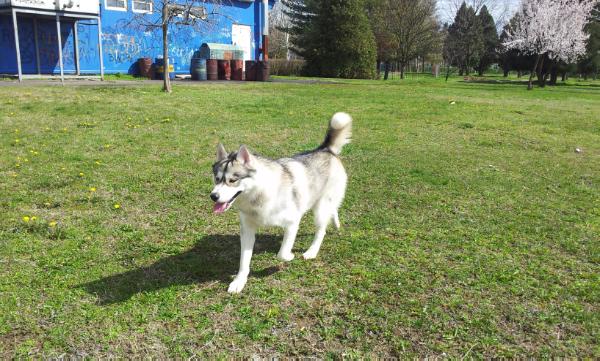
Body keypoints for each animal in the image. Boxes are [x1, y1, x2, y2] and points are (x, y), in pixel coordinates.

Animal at [211, 112, 352, 292]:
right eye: (217, 179)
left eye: (232, 180)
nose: (213, 196)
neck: (259, 195)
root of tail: (325, 149)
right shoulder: (247, 229)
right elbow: (244, 261)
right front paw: (239, 281)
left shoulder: (292, 222)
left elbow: (282, 253)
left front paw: (290, 256)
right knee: (333, 209)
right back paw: (335, 223)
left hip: (320, 208)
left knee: (321, 230)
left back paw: (312, 251)